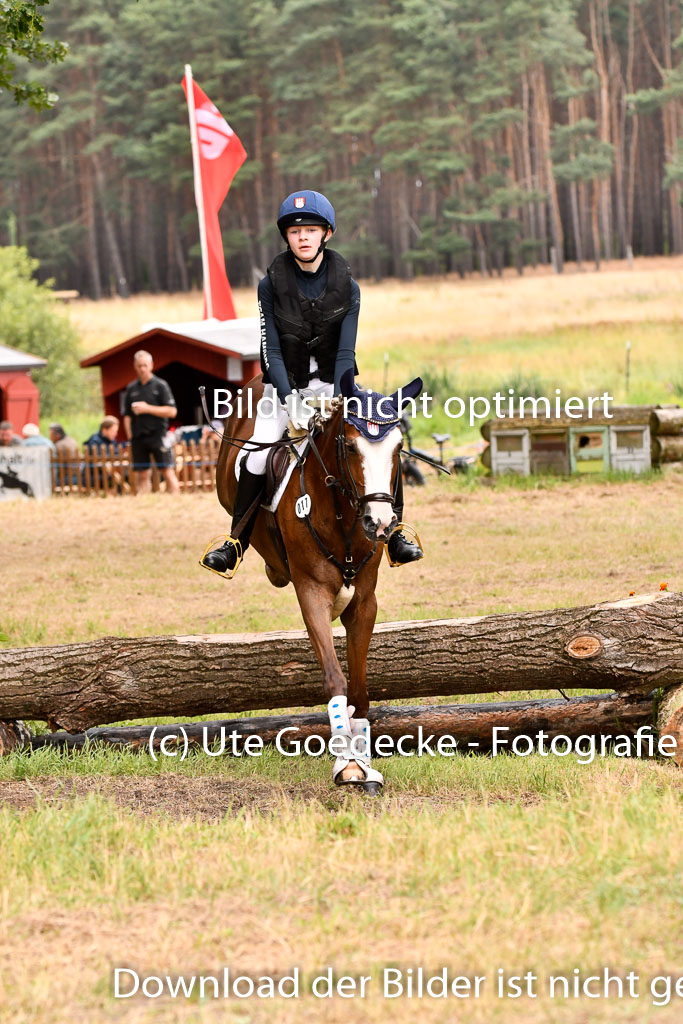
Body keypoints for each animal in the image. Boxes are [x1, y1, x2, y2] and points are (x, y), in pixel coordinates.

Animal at [214, 372, 421, 794]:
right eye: (350, 446)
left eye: (398, 448)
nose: (379, 524)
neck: (344, 516)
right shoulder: (311, 594)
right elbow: (335, 679)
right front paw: (348, 765)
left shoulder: (364, 602)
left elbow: (359, 689)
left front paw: (363, 761)